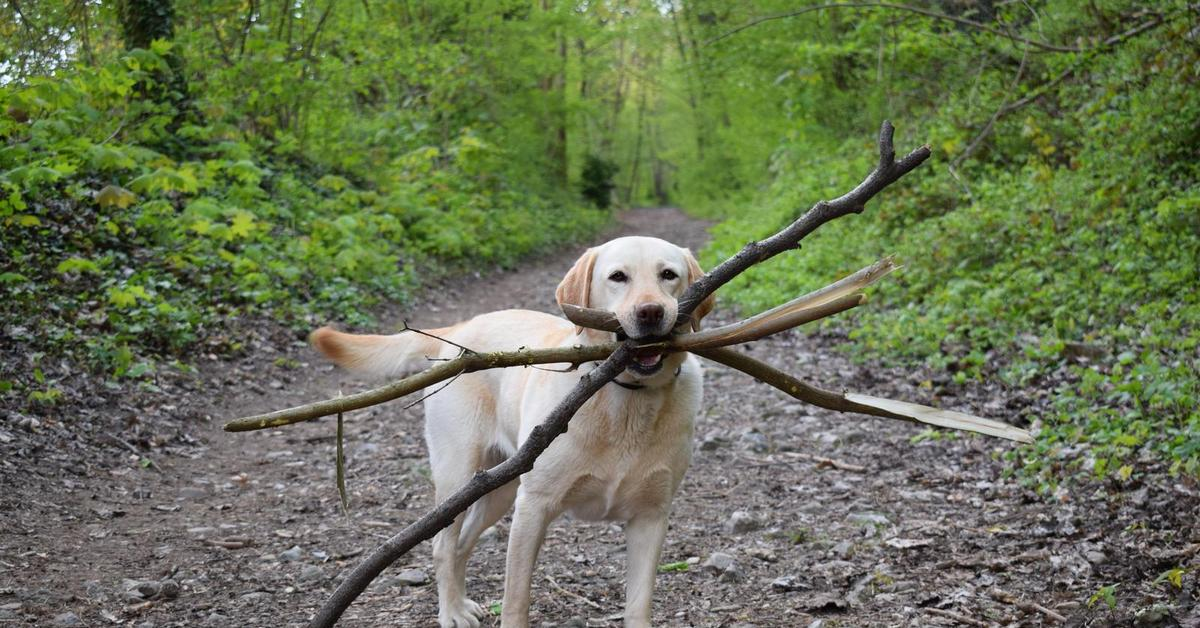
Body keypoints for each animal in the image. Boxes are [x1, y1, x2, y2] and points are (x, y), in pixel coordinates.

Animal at [309, 237, 710, 628]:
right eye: (618, 277)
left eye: (668, 275)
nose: (651, 312)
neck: (626, 398)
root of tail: (458, 331)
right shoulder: (533, 506)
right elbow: (516, 598)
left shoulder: (651, 517)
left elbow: (638, 605)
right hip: (459, 477)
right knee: (443, 546)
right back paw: (451, 612)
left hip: (497, 487)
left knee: (463, 544)